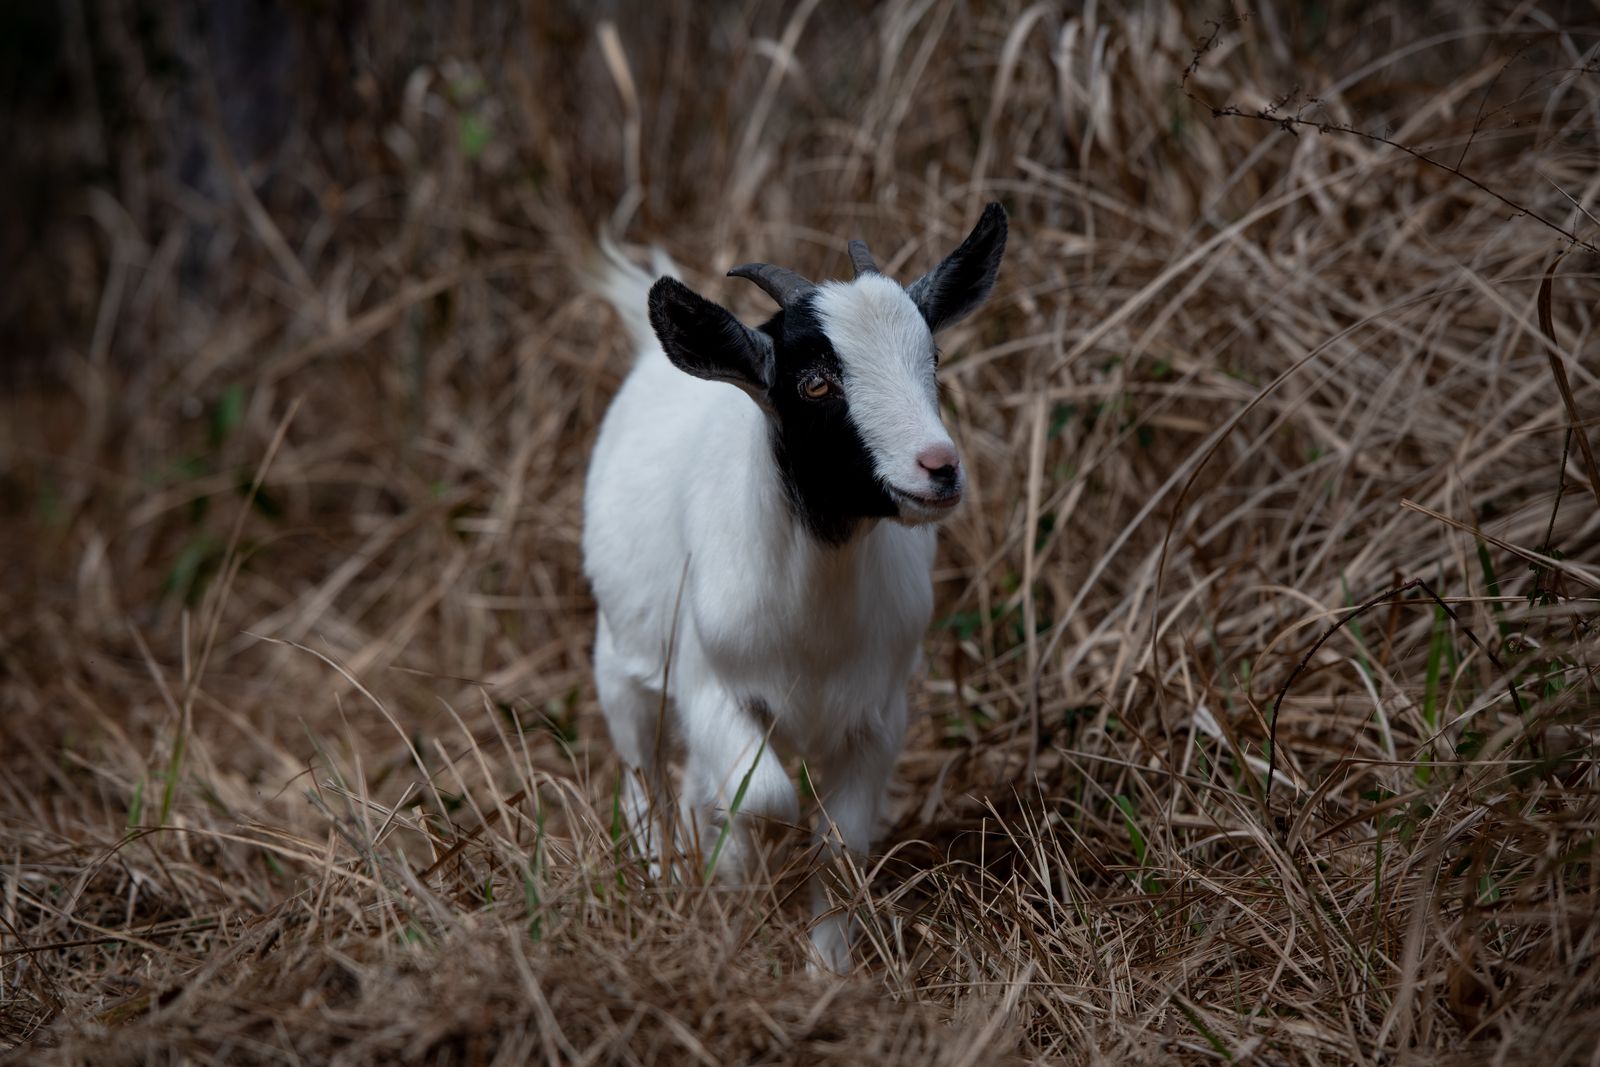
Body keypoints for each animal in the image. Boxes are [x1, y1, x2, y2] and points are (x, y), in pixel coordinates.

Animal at [582, 204, 1008, 972]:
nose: (939, 467)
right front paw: (736, 901)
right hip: (620, 662)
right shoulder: (712, 687)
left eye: (930, 357)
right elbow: (768, 800)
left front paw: (826, 972)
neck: (815, 624)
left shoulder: (879, 713)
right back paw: (663, 881)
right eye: (815, 383)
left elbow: (840, 845)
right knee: (642, 778)